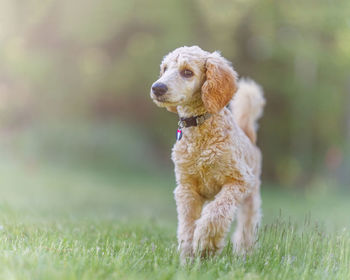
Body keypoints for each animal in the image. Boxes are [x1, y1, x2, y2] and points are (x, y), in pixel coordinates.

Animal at [148, 44, 266, 262]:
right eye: (165, 68)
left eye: (187, 72)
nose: (157, 88)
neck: (200, 129)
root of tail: (249, 136)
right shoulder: (187, 189)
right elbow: (187, 225)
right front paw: (187, 256)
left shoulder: (238, 181)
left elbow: (216, 212)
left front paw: (206, 244)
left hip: (251, 196)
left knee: (247, 227)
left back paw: (244, 253)